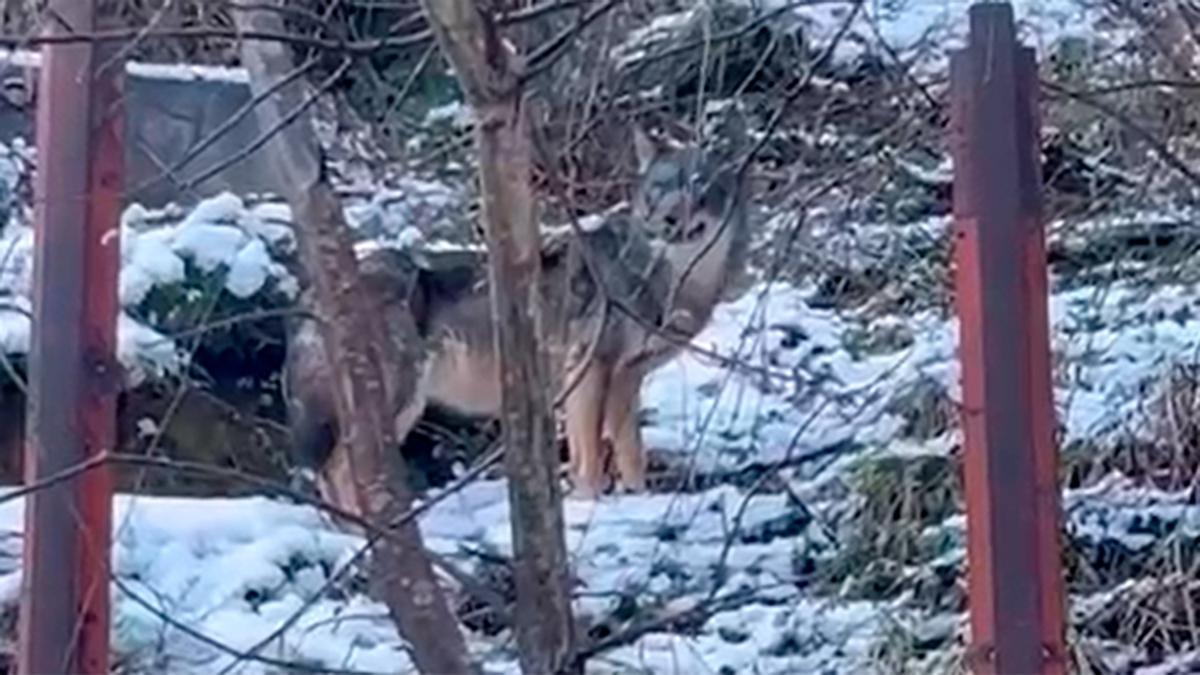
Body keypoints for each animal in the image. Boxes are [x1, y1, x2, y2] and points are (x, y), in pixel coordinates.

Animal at [283, 115, 748, 514]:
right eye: (659, 187)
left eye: (699, 188)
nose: (665, 219)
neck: (668, 280)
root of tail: (311, 294)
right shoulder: (589, 369)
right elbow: (591, 458)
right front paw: (590, 505)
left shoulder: (624, 378)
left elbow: (630, 452)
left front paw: (636, 500)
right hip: (398, 403)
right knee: (337, 473)